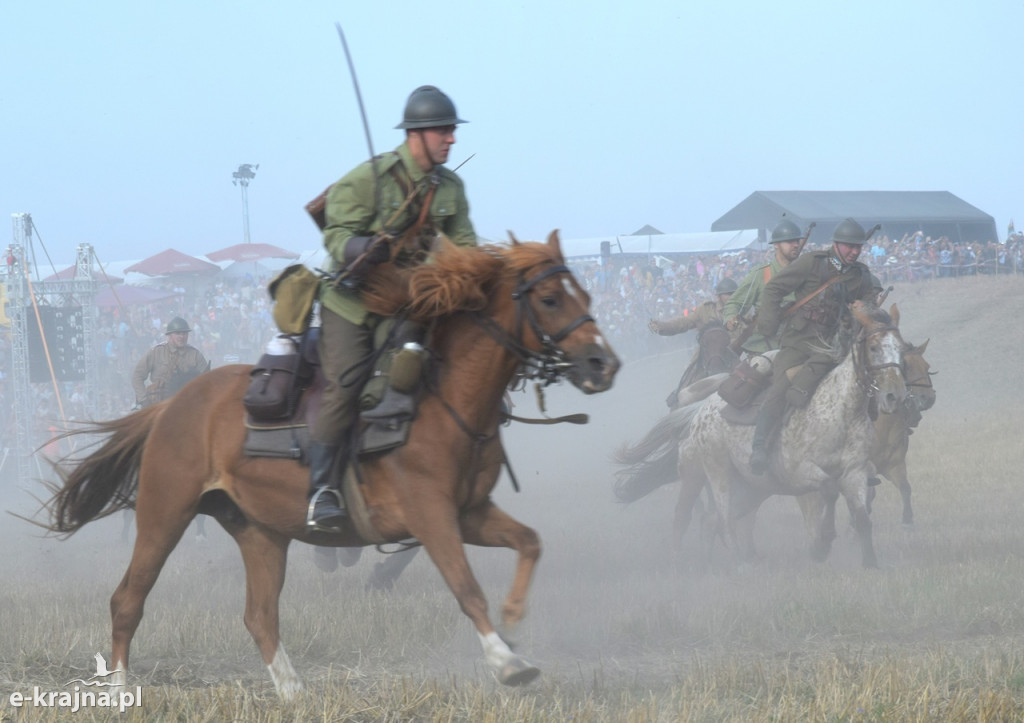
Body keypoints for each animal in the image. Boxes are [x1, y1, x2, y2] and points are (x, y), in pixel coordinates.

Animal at [41, 233, 614, 696]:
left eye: (584, 295)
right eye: (549, 298)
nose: (603, 363)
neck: (441, 396)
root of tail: (170, 407)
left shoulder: (468, 513)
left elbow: (529, 542)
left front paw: (514, 622)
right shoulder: (431, 516)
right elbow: (466, 588)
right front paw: (507, 663)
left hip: (260, 531)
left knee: (260, 615)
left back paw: (294, 693)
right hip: (165, 513)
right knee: (128, 600)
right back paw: (120, 692)